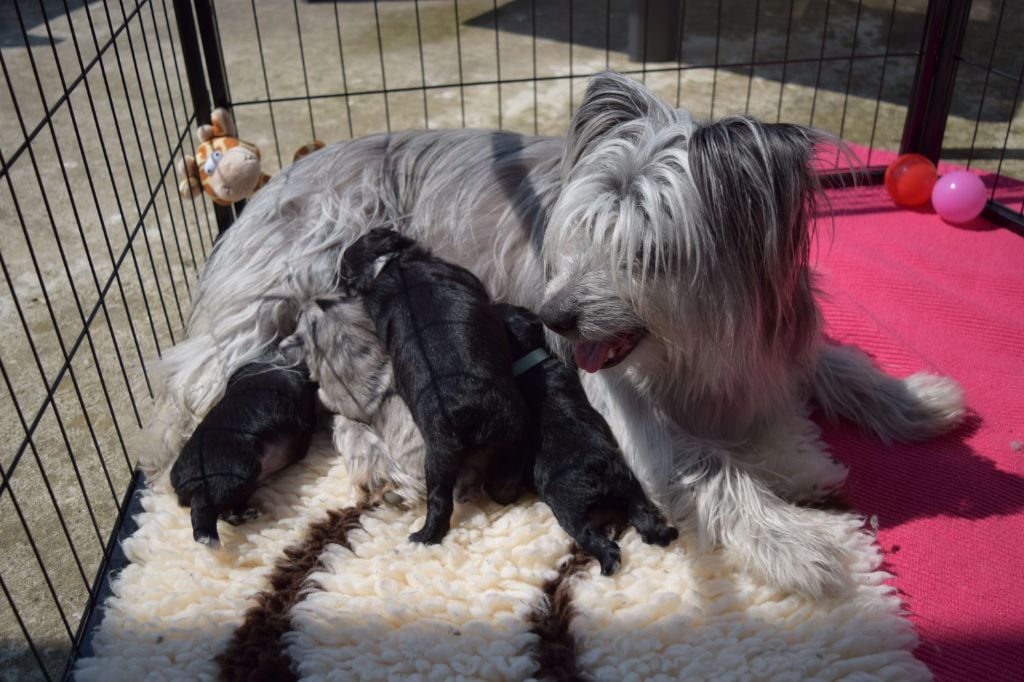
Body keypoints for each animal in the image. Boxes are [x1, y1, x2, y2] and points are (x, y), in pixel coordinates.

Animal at [169, 360, 317, 548]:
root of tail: (179, 484)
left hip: (246, 483)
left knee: (225, 512)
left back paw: (246, 515)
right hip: (237, 472)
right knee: (203, 506)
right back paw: (208, 538)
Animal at [342, 227, 532, 540]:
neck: (388, 264)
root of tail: (463, 411)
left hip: (441, 456)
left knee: (442, 496)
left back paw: (424, 536)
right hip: (510, 431)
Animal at [495, 303, 679, 573]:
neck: (528, 358)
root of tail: (595, 468)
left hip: (569, 511)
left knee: (590, 536)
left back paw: (608, 563)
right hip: (630, 485)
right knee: (643, 515)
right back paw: (665, 534)